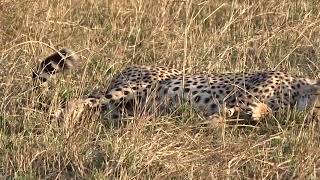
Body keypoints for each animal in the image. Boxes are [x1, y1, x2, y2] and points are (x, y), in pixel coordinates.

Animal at [31, 48, 320, 123]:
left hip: (125, 108)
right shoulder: (239, 96)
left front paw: (258, 113)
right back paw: (63, 118)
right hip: (133, 88)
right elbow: (228, 111)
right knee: (78, 100)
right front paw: (216, 123)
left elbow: (262, 112)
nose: (314, 115)